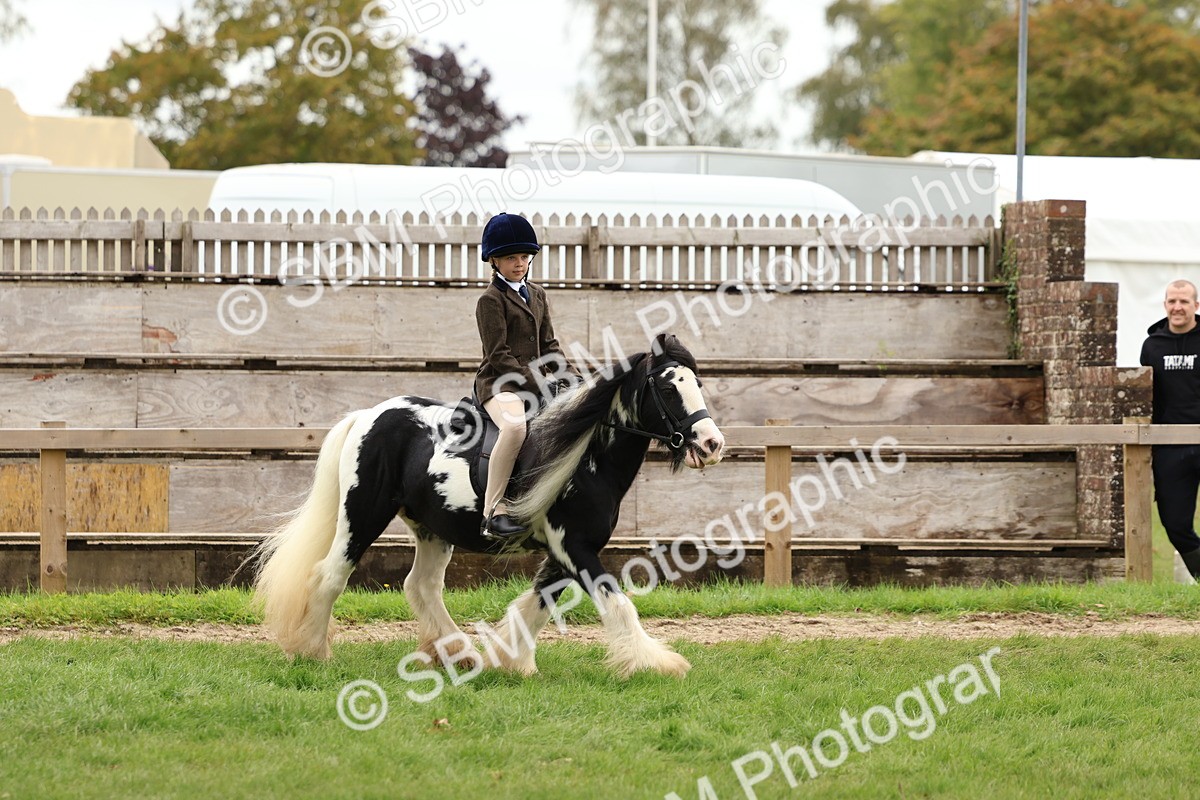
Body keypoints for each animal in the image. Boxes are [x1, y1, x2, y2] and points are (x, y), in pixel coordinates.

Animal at [251, 333, 725, 678]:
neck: (585, 453)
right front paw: (658, 663)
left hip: (432, 529)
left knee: (421, 586)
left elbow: (537, 604)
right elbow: (617, 601)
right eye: (667, 386)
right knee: (330, 576)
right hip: (362, 515)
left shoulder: (568, 549)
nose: (712, 444)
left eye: (698, 383)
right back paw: (313, 652)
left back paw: (459, 654)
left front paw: (512, 662)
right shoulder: (573, 546)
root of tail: (369, 415)